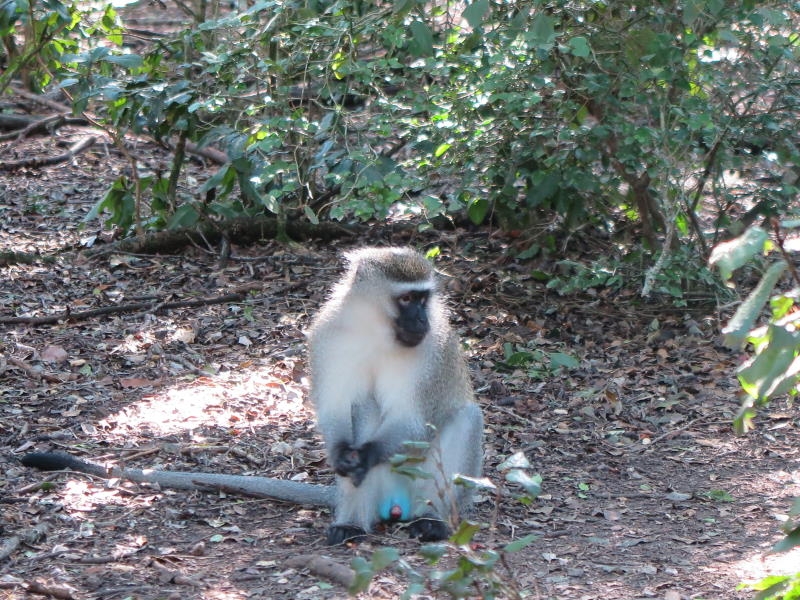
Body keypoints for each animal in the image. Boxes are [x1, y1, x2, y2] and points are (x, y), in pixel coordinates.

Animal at [21, 246, 484, 548]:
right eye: (407, 298)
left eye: (424, 298)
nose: (422, 320)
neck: (376, 331)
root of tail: (398, 505)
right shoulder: (330, 336)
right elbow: (336, 409)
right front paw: (345, 455)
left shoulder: (432, 350)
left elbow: (414, 420)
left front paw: (363, 455)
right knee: (363, 408)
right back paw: (352, 523)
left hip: (425, 488)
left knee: (466, 419)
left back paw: (433, 520)